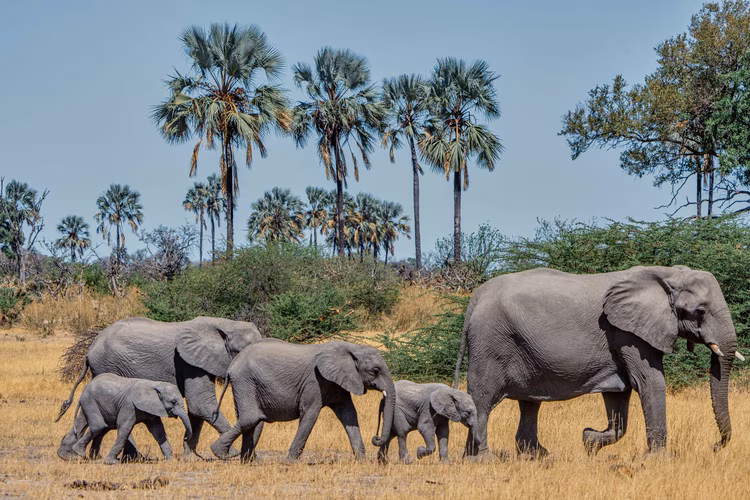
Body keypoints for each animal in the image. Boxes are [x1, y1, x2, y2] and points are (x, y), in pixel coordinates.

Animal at [57, 374, 192, 464]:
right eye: (173, 402)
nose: (185, 438)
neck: (154, 384)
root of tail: (87, 386)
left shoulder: (151, 408)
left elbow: (158, 431)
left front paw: (170, 460)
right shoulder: (129, 405)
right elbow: (124, 429)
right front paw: (111, 462)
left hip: (91, 403)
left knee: (86, 424)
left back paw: (68, 457)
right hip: (90, 401)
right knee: (98, 426)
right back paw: (79, 453)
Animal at [210, 338, 396, 462]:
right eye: (375, 370)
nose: (376, 438)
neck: (351, 348)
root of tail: (232, 365)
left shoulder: (337, 382)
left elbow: (349, 414)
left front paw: (363, 461)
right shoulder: (315, 381)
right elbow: (310, 414)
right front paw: (290, 462)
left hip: (245, 384)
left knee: (250, 420)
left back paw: (249, 462)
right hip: (245, 381)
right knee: (251, 418)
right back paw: (222, 453)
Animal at [453, 265, 744, 457]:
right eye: (700, 311)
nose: (715, 446)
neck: (666, 274)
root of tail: (475, 298)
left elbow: (620, 394)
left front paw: (588, 441)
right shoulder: (628, 332)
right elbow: (649, 382)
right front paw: (658, 461)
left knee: (529, 402)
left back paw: (539, 456)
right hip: (491, 343)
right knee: (483, 399)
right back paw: (483, 460)